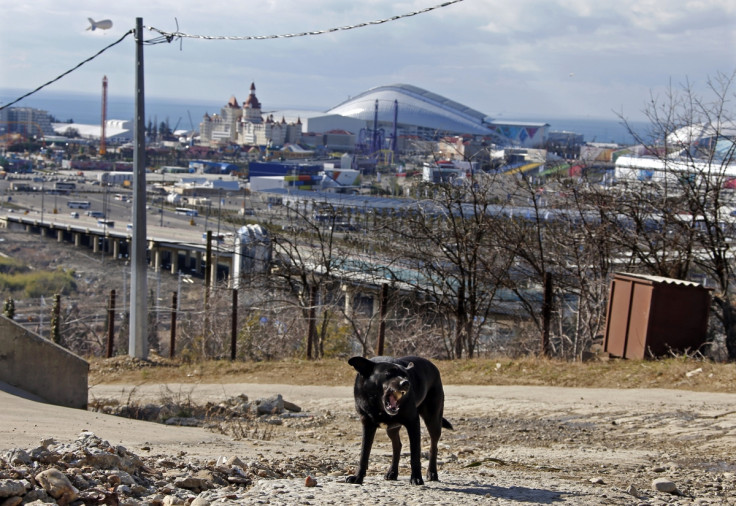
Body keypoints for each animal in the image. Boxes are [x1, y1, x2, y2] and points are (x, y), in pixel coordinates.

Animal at [346, 354, 454, 484]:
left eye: (406, 376)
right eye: (388, 373)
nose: (406, 383)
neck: (378, 406)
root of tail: (433, 366)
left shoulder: (413, 422)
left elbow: (415, 454)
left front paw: (416, 478)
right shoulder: (367, 424)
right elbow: (364, 453)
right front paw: (358, 477)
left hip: (433, 420)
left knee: (434, 446)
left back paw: (432, 473)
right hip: (392, 428)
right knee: (397, 445)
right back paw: (392, 472)